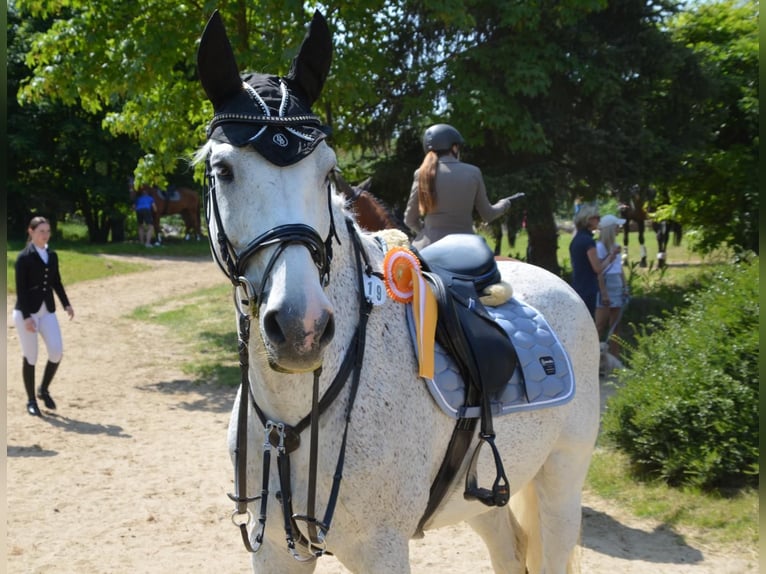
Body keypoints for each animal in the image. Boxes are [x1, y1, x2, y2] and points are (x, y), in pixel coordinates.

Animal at [196, 10, 600, 573]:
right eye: (223, 170)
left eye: (328, 170)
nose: (301, 328)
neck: (289, 419)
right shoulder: (275, 549)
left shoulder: (382, 550)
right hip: (483, 500)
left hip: (561, 480)